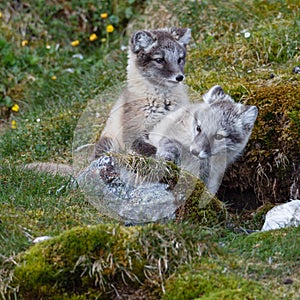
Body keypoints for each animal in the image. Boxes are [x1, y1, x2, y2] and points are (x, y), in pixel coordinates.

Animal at [95, 27, 191, 158]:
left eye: (180, 59)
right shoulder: (133, 131)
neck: (162, 101)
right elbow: (149, 149)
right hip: (108, 141)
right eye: (159, 60)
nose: (180, 77)